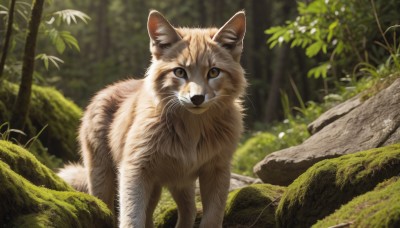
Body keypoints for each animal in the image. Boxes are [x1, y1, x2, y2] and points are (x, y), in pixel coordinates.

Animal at [58, 10, 247, 228]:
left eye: (214, 72)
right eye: (179, 71)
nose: (197, 98)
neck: (192, 129)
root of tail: (106, 90)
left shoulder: (217, 169)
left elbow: (212, 218)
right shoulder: (135, 169)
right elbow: (131, 218)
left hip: (177, 182)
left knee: (188, 210)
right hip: (103, 177)